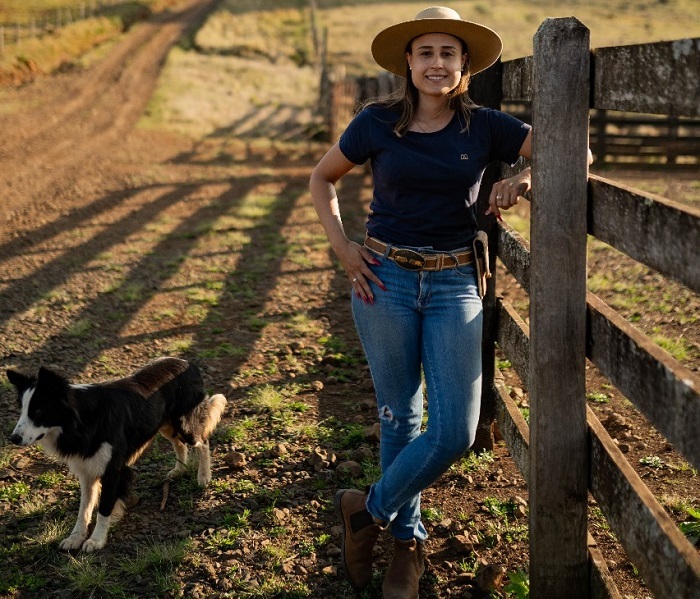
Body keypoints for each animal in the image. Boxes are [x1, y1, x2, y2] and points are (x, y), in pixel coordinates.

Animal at [8, 356, 227, 552]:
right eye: (22, 410)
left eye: (38, 411)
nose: (13, 439)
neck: (83, 421)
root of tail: (188, 363)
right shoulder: (87, 471)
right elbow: (84, 509)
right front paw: (75, 538)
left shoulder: (112, 470)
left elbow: (104, 507)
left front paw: (96, 540)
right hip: (164, 424)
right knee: (179, 444)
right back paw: (178, 470)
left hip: (185, 423)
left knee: (203, 441)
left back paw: (203, 476)